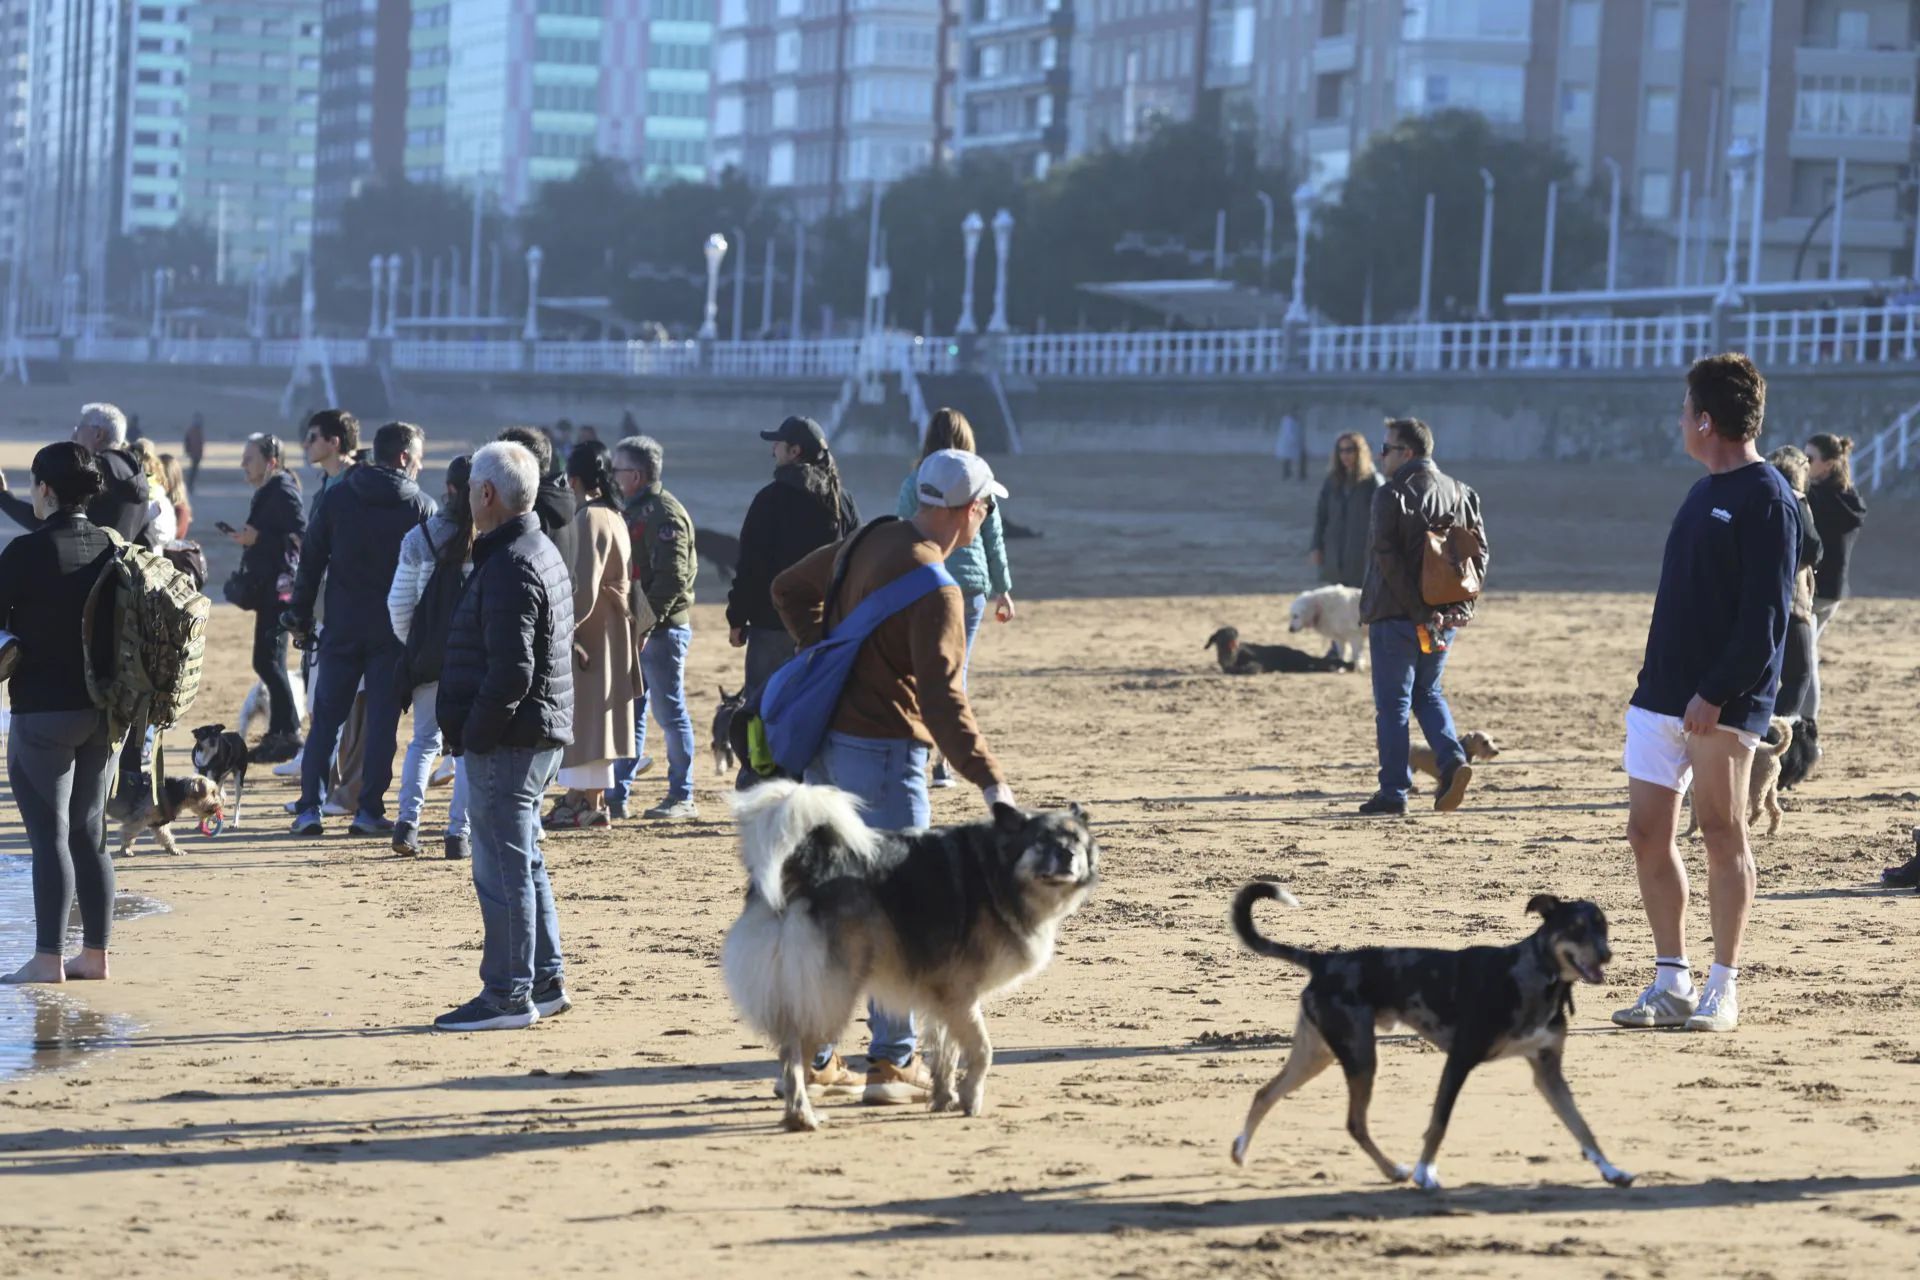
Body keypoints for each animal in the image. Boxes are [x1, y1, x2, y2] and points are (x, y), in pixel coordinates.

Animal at [721, 782, 1105, 1128]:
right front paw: (970, 1099)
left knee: (789, 1052)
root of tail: (803, 864)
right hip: (832, 994)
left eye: (1075, 841)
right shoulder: (960, 992)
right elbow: (982, 1050)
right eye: (1043, 841)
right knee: (796, 1058)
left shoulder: (947, 998)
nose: (1068, 855)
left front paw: (944, 1098)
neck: (998, 871)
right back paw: (803, 1116)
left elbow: (947, 1051)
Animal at [1205, 625, 1359, 675]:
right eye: (1222, 635)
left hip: (1300, 659)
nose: (1234, 639)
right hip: (1302, 664)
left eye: (1235, 633)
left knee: (1322, 662)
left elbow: (1252, 666)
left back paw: (1348, 665)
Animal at [1221, 882, 1628, 1189]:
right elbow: (1438, 1124)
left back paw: (1241, 1152)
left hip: (1317, 1055)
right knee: (1354, 1123)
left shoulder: (1548, 1071)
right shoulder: (1460, 1060)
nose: (1606, 955)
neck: (1537, 976)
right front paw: (1425, 1173)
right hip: (1360, 1056)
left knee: (1265, 1093)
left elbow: (1582, 1127)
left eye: (1603, 927)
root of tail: (1323, 961)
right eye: (1576, 928)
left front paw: (1612, 1170)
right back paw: (1396, 1170)